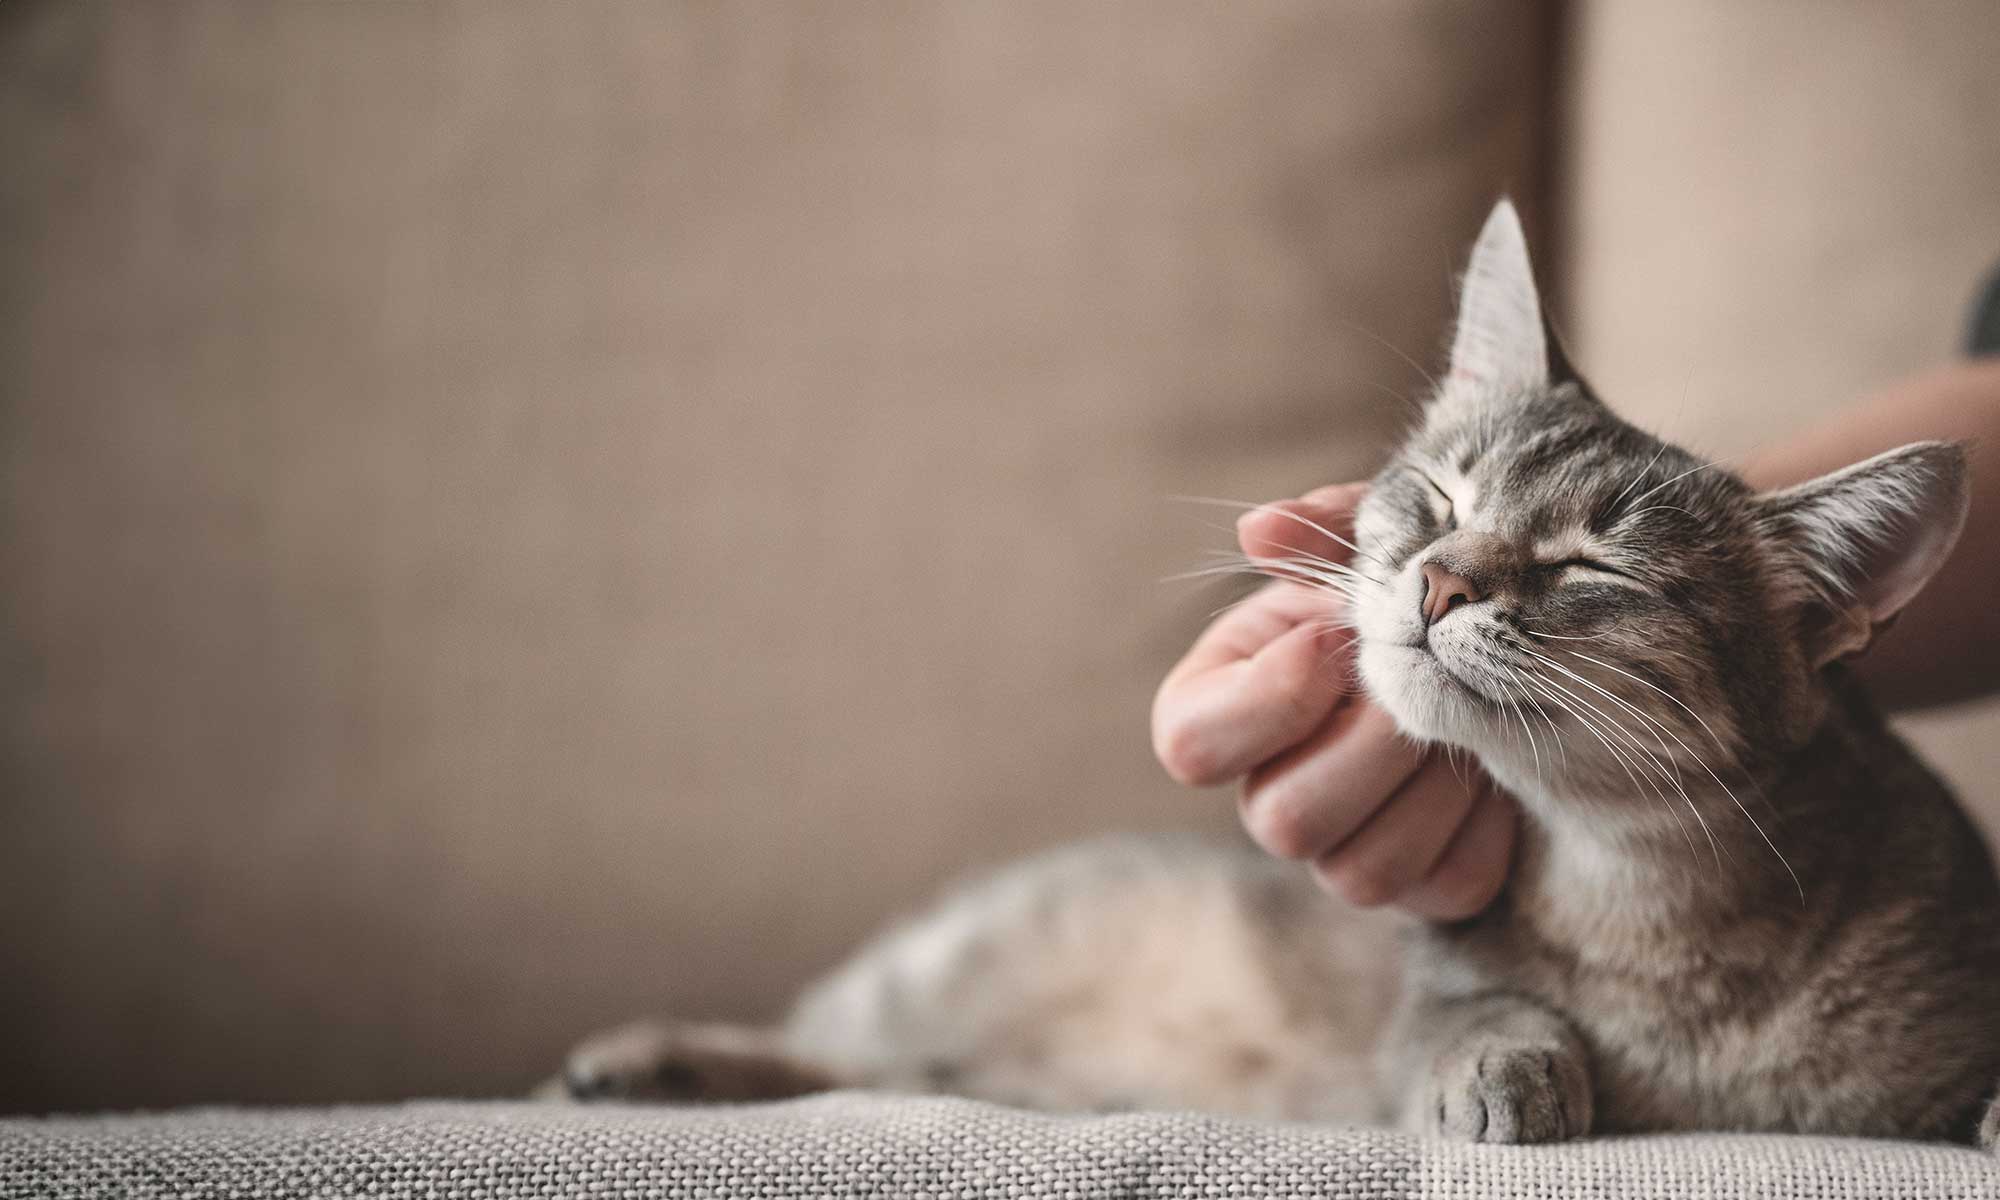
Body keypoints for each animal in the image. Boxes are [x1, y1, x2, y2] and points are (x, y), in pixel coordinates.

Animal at [556, 202, 2000, 1152]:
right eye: (1440, 496)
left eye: (1591, 564)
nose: (1441, 581)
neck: (1644, 908)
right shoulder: (1430, 991)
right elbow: (1475, 1010)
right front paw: (1508, 1065)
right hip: (941, 971)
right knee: (829, 1047)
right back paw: (642, 1059)